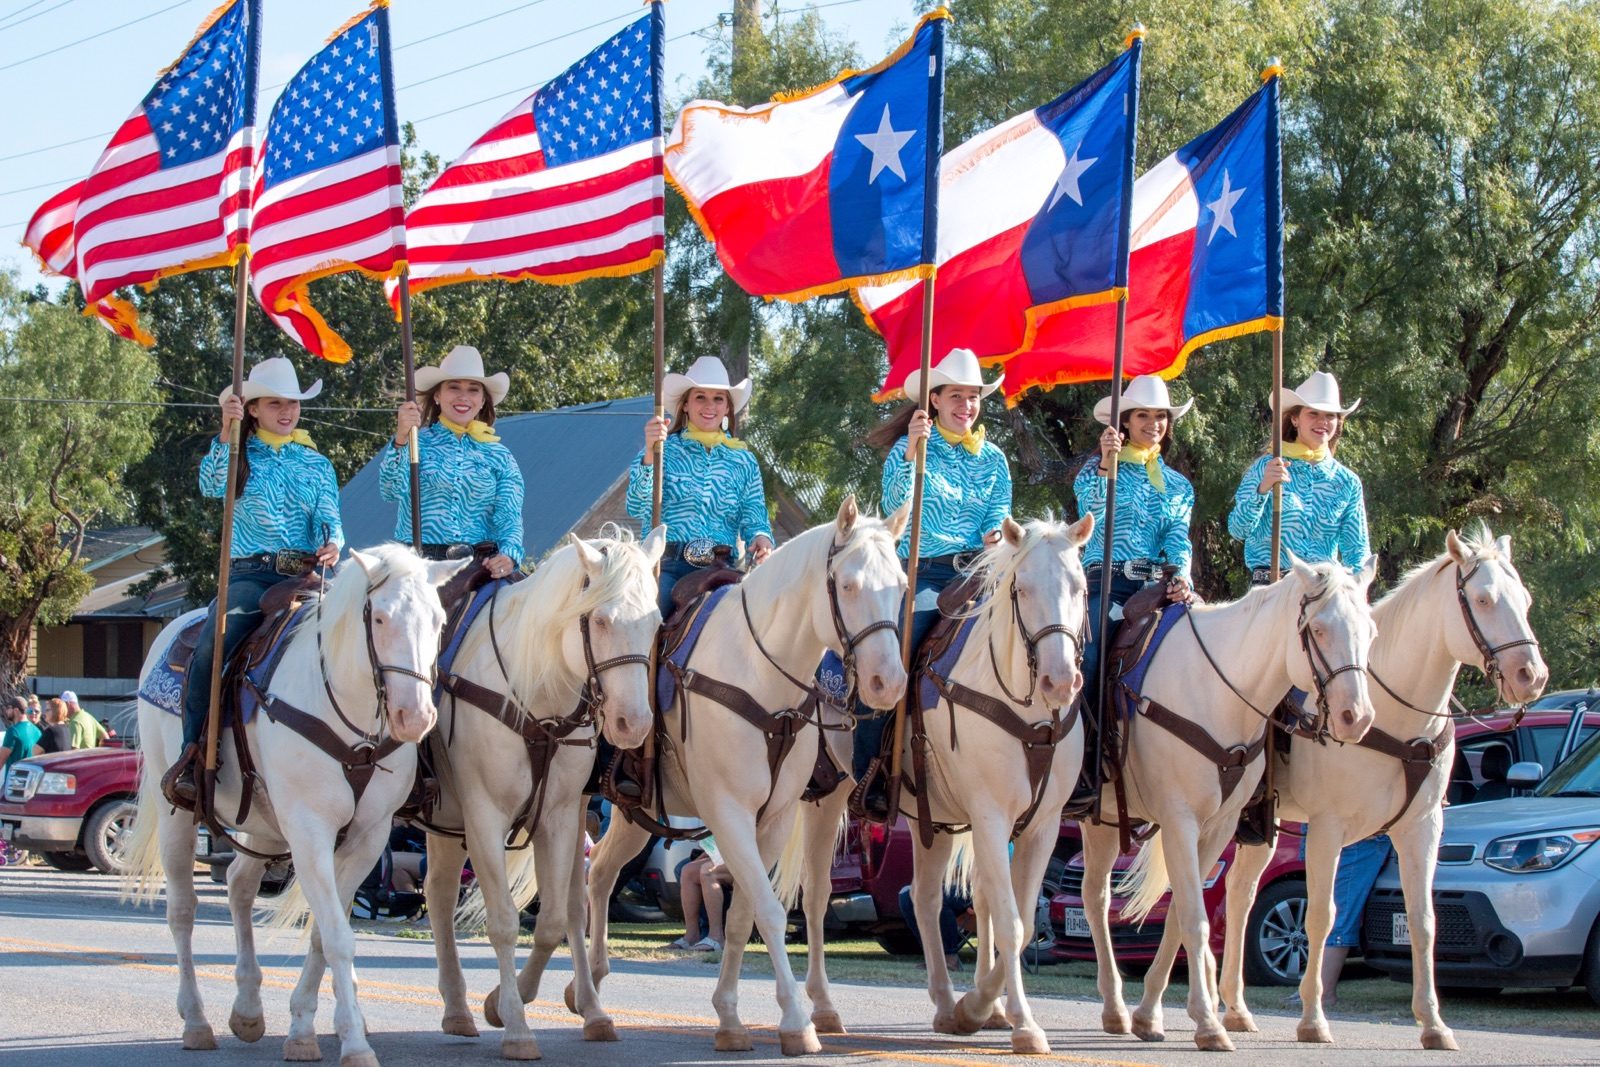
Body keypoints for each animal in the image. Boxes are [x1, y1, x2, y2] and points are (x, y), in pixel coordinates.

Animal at [129, 547, 464, 1062]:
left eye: (438, 621)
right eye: (380, 617)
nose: (415, 716)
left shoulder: (368, 837)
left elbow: (324, 934)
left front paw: (305, 1030)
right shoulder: (309, 831)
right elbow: (338, 937)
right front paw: (354, 1044)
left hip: (264, 825)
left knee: (239, 884)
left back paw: (248, 1009)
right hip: (180, 816)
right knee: (182, 910)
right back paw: (197, 1021)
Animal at [419, 524, 662, 1062]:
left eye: (656, 622)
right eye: (599, 619)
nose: (633, 725)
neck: (537, 696)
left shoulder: (561, 817)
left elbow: (552, 919)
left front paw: (501, 1005)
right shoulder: (484, 816)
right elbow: (505, 921)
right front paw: (516, 1027)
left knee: (442, 895)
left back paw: (460, 1010)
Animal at [585, 495, 915, 1055]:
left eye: (901, 586)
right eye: (848, 585)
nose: (887, 682)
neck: (761, 676)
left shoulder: (775, 816)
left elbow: (745, 912)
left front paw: (730, 1017)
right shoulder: (729, 812)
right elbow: (770, 909)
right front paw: (796, 1022)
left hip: (636, 812)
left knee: (601, 874)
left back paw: (589, 989)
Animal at [1088, 559, 1376, 1049]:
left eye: (1370, 631)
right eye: (1318, 630)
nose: (1355, 717)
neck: (1216, 692)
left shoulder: (1218, 826)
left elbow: (1181, 915)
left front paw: (1150, 1015)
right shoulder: (1179, 821)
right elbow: (1195, 918)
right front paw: (1208, 1023)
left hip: (1104, 819)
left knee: (1093, 896)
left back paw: (1113, 1009)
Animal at [1203, 524, 1548, 1049]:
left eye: (1525, 600)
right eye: (1484, 600)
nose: (1531, 675)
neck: (1395, 718)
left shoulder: (1422, 827)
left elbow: (1423, 921)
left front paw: (1434, 1024)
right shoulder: (1328, 828)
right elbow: (1321, 917)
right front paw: (1313, 1020)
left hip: (1261, 824)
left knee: (1240, 895)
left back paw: (1236, 1010)